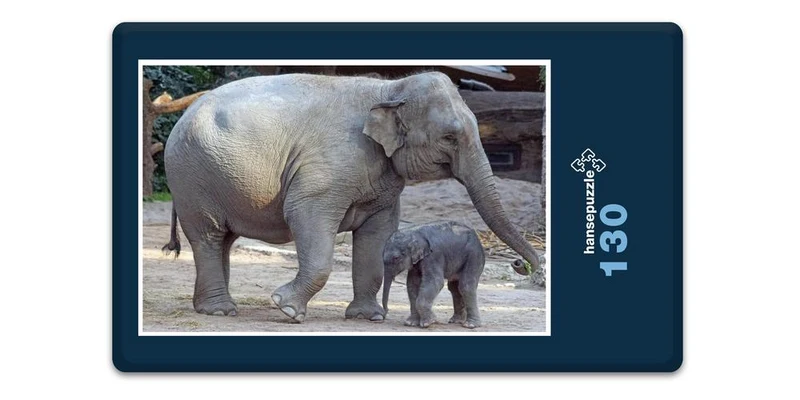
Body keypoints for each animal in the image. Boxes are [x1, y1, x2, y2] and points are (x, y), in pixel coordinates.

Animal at [161, 71, 541, 323]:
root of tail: (184, 114)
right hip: (193, 177)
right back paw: (220, 310)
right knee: (209, 236)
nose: (522, 266)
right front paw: (287, 307)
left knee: (224, 240)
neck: (390, 88)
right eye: (450, 137)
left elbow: (378, 233)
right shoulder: (326, 170)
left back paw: (212, 307)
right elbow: (304, 215)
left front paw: (366, 317)